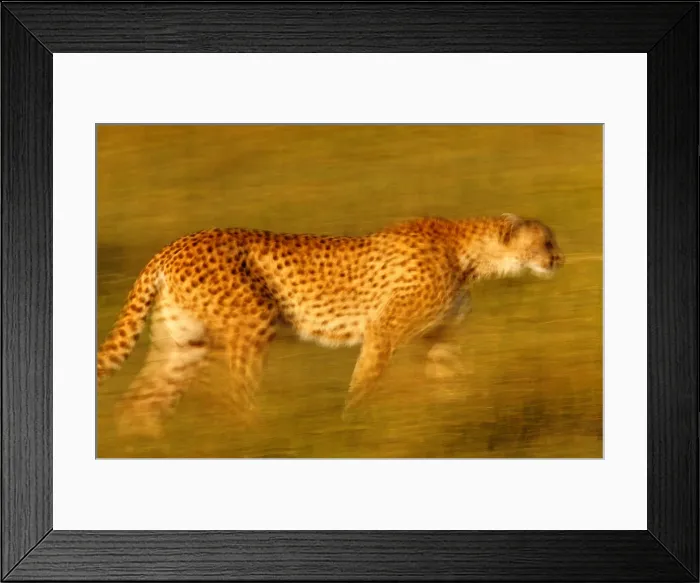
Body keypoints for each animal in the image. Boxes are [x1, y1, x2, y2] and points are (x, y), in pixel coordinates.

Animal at [97, 213, 564, 438]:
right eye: (546, 241)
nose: (559, 259)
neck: (468, 252)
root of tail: (174, 245)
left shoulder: (441, 337)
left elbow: (453, 384)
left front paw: (458, 418)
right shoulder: (384, 331)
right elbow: (364, 383)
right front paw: (351, 426)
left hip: (182, 345)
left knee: (137, 406)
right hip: (250, 327)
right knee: (231, 402)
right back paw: (257, 440)